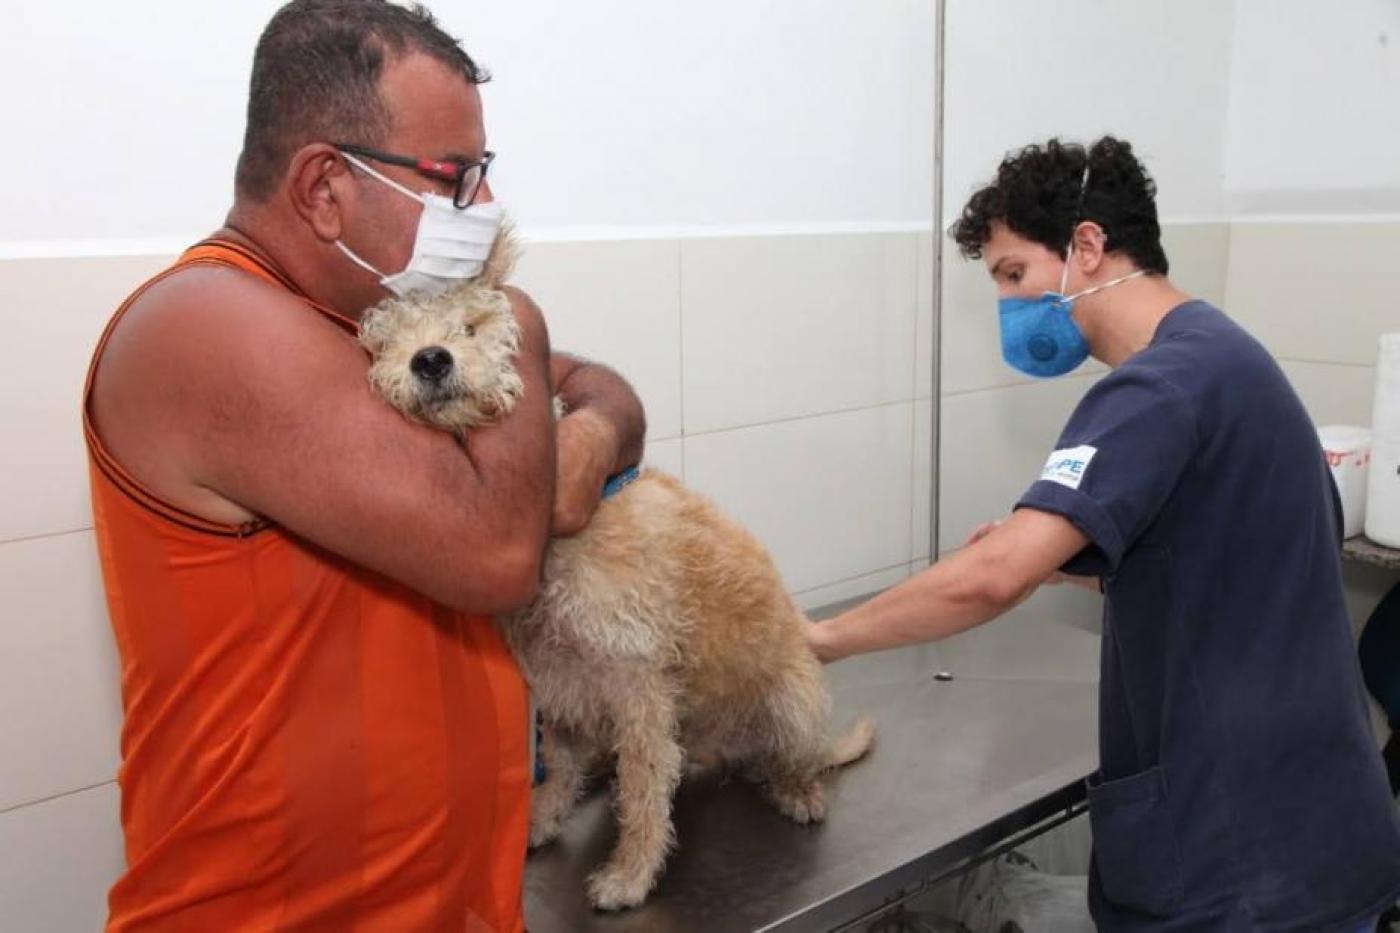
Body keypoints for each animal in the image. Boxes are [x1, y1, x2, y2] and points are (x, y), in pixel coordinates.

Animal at [358, 225, 873, 907]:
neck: (556, 545)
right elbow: (563, 768)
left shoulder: (638, 686)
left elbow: (645, 789)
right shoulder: (559, 683)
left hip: (793, 706)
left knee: (788, 759)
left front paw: (631, 874)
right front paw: (542, 819)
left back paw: (798, 790)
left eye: (472, 324)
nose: (431, 360)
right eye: (387, 341)